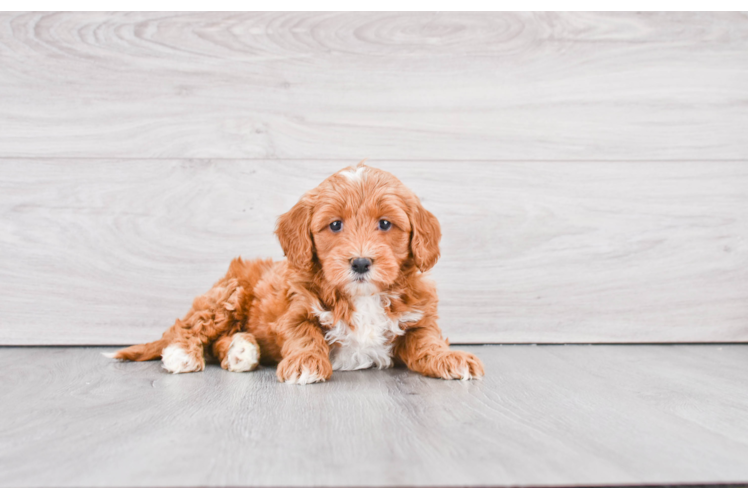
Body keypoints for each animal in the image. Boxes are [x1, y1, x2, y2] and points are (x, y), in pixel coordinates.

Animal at [106, 164, 486, 382]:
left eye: (385, 224)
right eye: (335, 225)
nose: (361, 263)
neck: (362, 297)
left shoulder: (417, 317)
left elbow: (427, 340)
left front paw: (450, 358)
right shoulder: (295, 310)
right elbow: (305, 334)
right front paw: (306, 363)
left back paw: (241, 350)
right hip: (228, 294)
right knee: (189, 328)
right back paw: (185, 354)